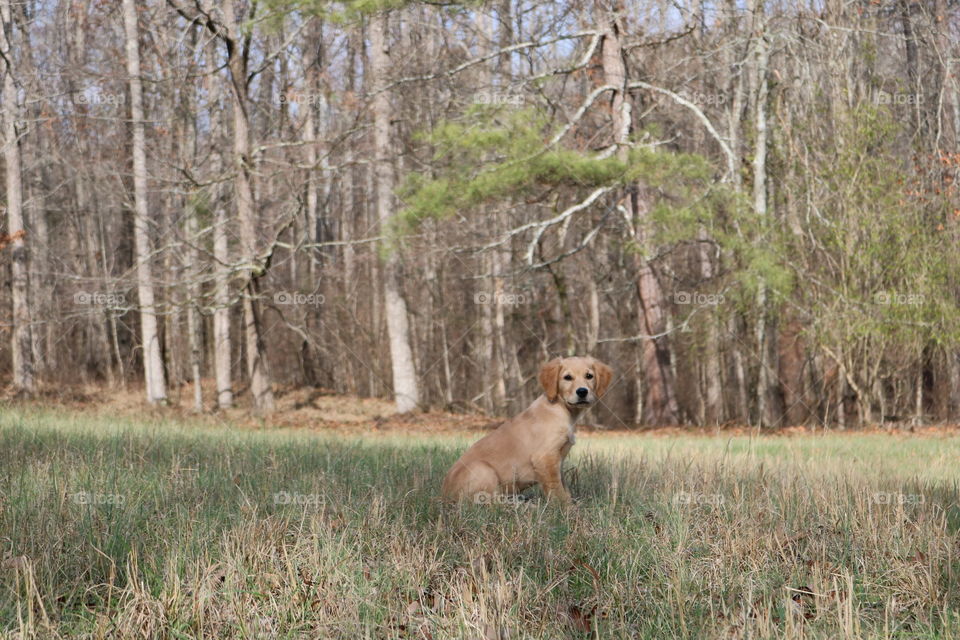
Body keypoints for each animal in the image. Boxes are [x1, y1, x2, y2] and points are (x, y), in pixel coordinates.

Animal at [444, 356, 616, 504]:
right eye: (567, 377)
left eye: (589, 376)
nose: (582, 391)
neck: (561, 409)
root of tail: (444, 495)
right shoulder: (545, 458)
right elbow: (557, 490)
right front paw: (567, 510)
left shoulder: (557, 460)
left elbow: (563, 488)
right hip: (483, 469)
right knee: (489, 502)